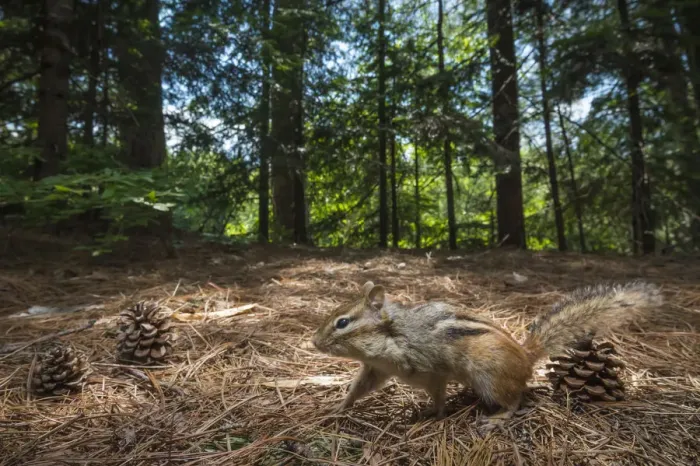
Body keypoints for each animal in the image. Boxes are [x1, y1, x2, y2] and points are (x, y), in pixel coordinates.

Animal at [311, 280, 663, 430]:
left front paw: (433, 415)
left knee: (515, 400)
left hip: (488, 375)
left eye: (343, 323)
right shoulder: (375, 369)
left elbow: (437, 393)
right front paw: (337, 408)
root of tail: (525, 356)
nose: (314, 342)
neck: (389, 338)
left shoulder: (431, 370)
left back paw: (496, 418)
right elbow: (359, 388)